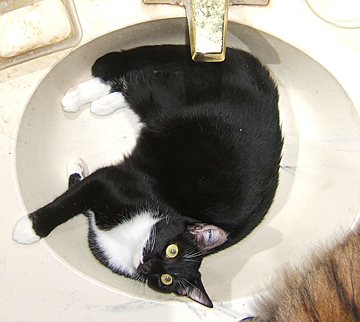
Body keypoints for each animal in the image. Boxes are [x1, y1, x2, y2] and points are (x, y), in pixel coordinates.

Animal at [12, 44, 282, 306]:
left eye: (166, 279)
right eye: (172, 250)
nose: (148, 265)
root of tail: (260, 75)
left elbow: (76, 192)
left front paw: (77, 167)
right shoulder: (110, 181)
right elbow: (66, 203)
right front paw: (28, 229)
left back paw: (100, 104)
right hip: (165, 101)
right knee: (139, 77)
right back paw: (80, 96)